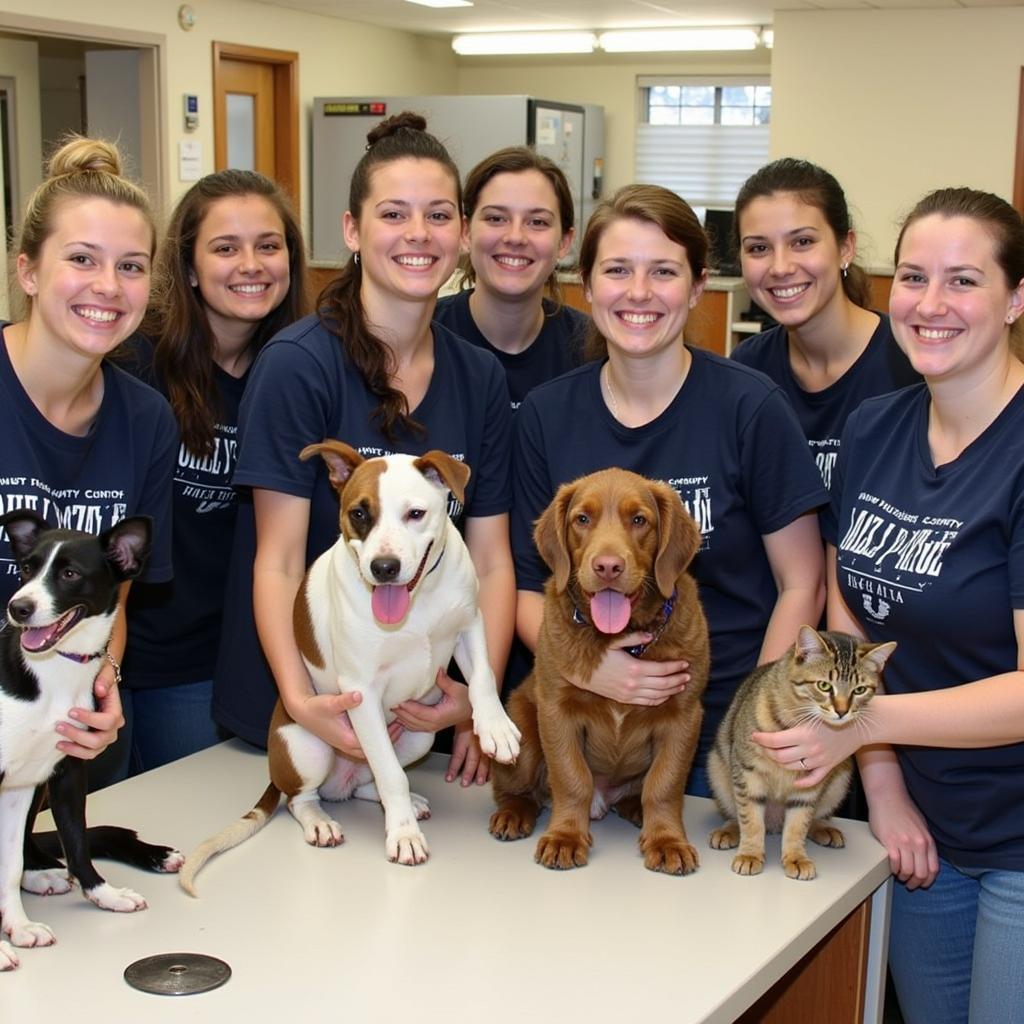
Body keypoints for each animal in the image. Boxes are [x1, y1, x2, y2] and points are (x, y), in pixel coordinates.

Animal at [0, 516, 182, 970]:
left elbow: (73, 842)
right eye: (25, 568)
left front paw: (101, 895)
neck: (53, 674)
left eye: (69, 574)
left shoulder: (60, 772)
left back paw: (40, 873)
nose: (18, 608)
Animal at [177, 444, 524, 892]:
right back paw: (322, 822)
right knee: (306, 798)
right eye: (359, 513)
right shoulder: (363, 693)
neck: (418, 600)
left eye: (415, 513)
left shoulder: (470, 625)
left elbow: (482, 678)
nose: (384, 567)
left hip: (418, 739)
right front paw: (404, 835)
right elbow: (391, 776)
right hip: (309, 747)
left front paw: (495, 728)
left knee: (369, 782)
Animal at [491, 464, 708, 872]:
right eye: (582, 519)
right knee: (517, 788)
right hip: (522, 731)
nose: (608, 566)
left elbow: (665, 783)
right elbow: (570, 776)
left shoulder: (684, 714)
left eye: (639, 520)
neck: (618, 638)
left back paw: (636, 810)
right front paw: (564, 838)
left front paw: (667, 841)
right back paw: (513, 814)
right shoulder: (556, 709)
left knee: (641, 790)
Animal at [708, 622, 892, 880]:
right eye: (824, 685)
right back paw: (729, 830)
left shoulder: (809, 786)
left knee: (813, 818)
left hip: (840, 779)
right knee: (737, 813)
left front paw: (796, 858)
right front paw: (750, 854)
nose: (842, 711)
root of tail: (774, 824)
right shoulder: (747, 772)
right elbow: (750, 819)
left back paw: (823, 829)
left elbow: (798, 825)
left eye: (859, 690)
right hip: (717, 770)